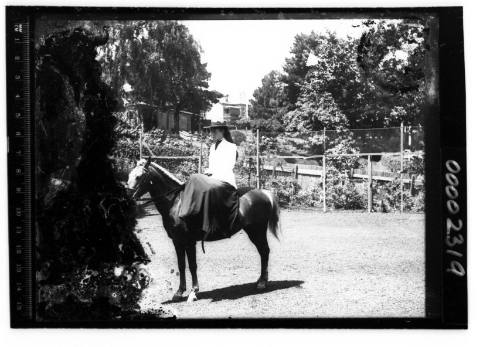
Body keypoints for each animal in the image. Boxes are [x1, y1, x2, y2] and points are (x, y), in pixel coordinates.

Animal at [126, 159, 282, 304]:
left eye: (139, 176)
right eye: (129, 175)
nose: (128, 198)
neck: (176, 204)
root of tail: (264, 193)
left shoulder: (189, 242)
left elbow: (192, 266)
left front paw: (193, 292)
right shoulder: (177, 241)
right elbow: (181, 266)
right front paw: (179, 292)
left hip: (257, 232)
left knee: (264, 251)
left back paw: (262, 283)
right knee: (263, 252)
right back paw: (260, 280)